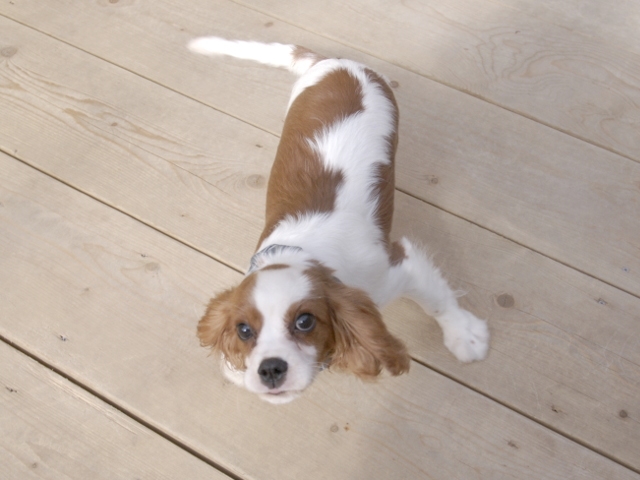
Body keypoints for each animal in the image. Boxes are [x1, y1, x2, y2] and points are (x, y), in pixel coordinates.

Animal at [188, 37, 489, 404]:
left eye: (305, 322)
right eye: (243, 330)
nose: (270, 368)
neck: (306, 253)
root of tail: (335, 62)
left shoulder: (397, 267)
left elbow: (436, 301)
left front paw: (466, 335)